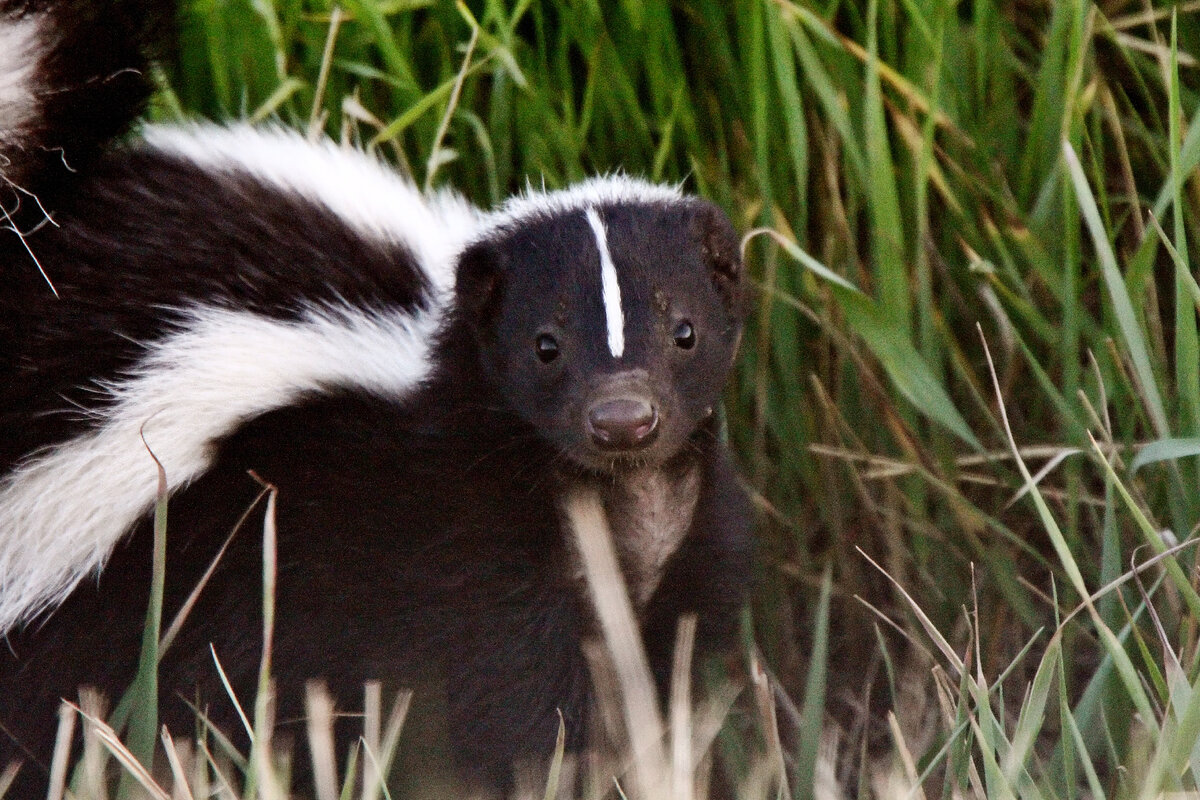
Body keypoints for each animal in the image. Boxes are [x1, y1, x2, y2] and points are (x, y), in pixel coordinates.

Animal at [0, 0, 748, 796]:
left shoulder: (688, 546)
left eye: (685, 332)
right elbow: (511, 701)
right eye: (545, 346)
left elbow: (675, 679)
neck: (614, 503)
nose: (623, 421)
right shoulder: (450, 537)